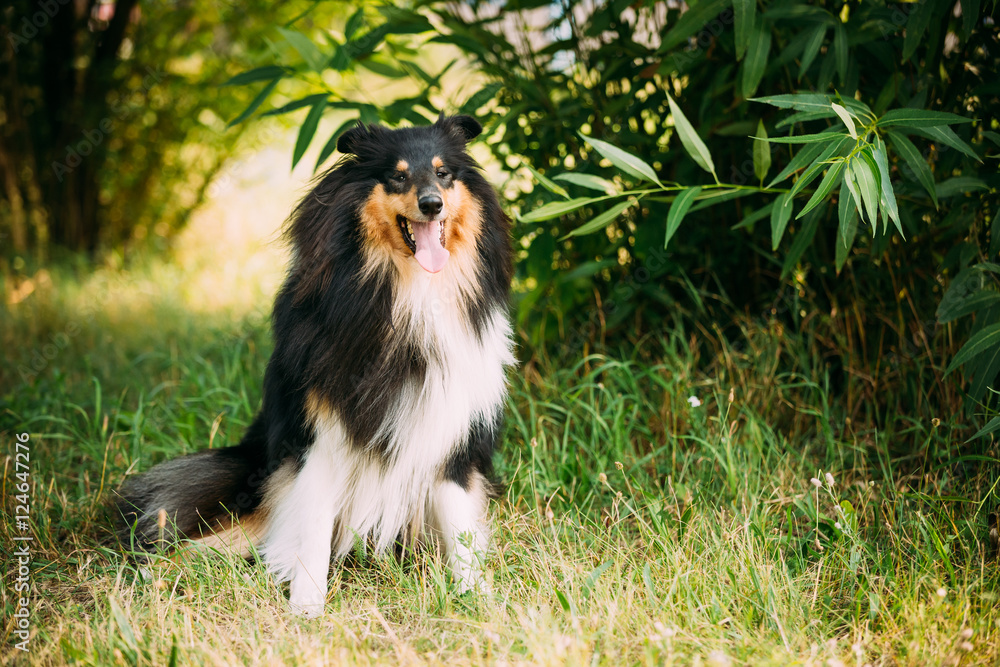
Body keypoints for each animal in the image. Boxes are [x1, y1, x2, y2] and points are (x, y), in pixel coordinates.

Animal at [115, 113, 516, 616]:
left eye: (444, 173)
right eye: (397, 176)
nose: (432, 204)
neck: (411, 296)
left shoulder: (451, 435)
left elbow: (460, 528)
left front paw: (478, 598)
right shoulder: (321, 439)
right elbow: (313, 533)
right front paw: (307, 607)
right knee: (197, 547)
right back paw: (145, 577)